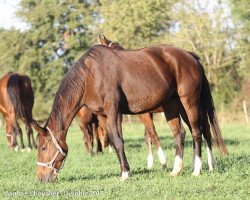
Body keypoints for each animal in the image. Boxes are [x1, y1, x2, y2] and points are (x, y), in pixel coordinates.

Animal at [31, 41, 229, 183]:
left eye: (43, 147)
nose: (41, 178)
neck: (90, 76)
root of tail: (190, 56)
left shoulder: (113, 111)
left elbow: (119, 141)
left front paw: (125, 173)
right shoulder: (103, 116)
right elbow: (112, 139)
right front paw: (124, 170)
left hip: (189, 102)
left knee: (197, 131)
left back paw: (197, 169)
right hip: (173, 105)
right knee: (181, 133)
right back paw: (177, 170)